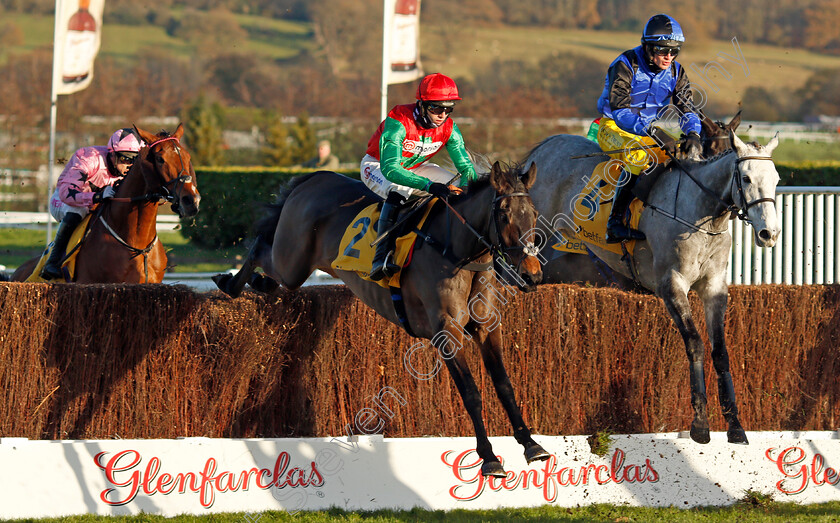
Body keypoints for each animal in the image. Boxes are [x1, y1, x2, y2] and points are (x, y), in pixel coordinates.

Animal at [9, 124, 199, 282]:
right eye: (160, 159)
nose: (191, 200)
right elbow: (70, 189)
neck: (137, 245)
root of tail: (17, 272)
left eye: (187, 156)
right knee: (71, 213)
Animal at [213, 164, 552, 478]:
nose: (532, 275)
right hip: (292, 263)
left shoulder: (486, 327)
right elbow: (471, 393)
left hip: (292, 266)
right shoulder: (446, 333)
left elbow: (504, 384)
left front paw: (531, 443)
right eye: (504, 215)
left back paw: (258, 283)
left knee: (268, 265)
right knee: (260, 247)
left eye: (535, 213)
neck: (456, 250)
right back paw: (229, 282)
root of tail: (316, 176)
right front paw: (489, 458)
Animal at [524, 131, 780, 446]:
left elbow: (720, 351)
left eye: (777, 179)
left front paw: (735, 425)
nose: (770, 233)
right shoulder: (671, 284)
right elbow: (695, 344)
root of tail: (548, 144)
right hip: (536, 241)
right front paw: (700, 424)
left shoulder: (714, 287)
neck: (702, 216)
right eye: (745, 178)